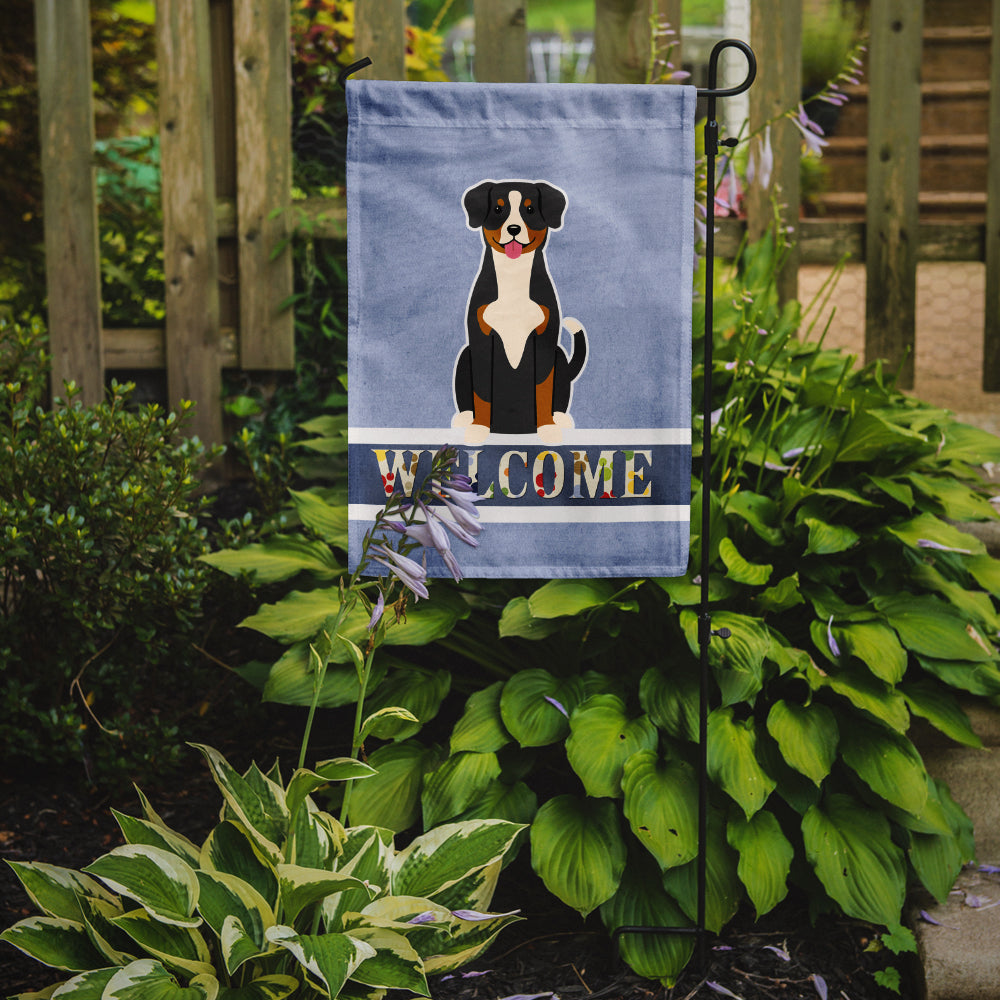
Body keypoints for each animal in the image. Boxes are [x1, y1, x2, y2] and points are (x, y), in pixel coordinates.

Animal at [454, 181, 584, 446]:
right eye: (497, 209)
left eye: (530, 209)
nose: (513, 228)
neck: (513, 275)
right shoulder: (482, 342)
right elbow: (482, 393)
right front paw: (479, 428)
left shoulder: (543, 342)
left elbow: (543, 390)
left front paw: (547, 428)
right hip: (465, 355)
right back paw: (464, 417)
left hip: (558, 355)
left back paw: (561, 418)